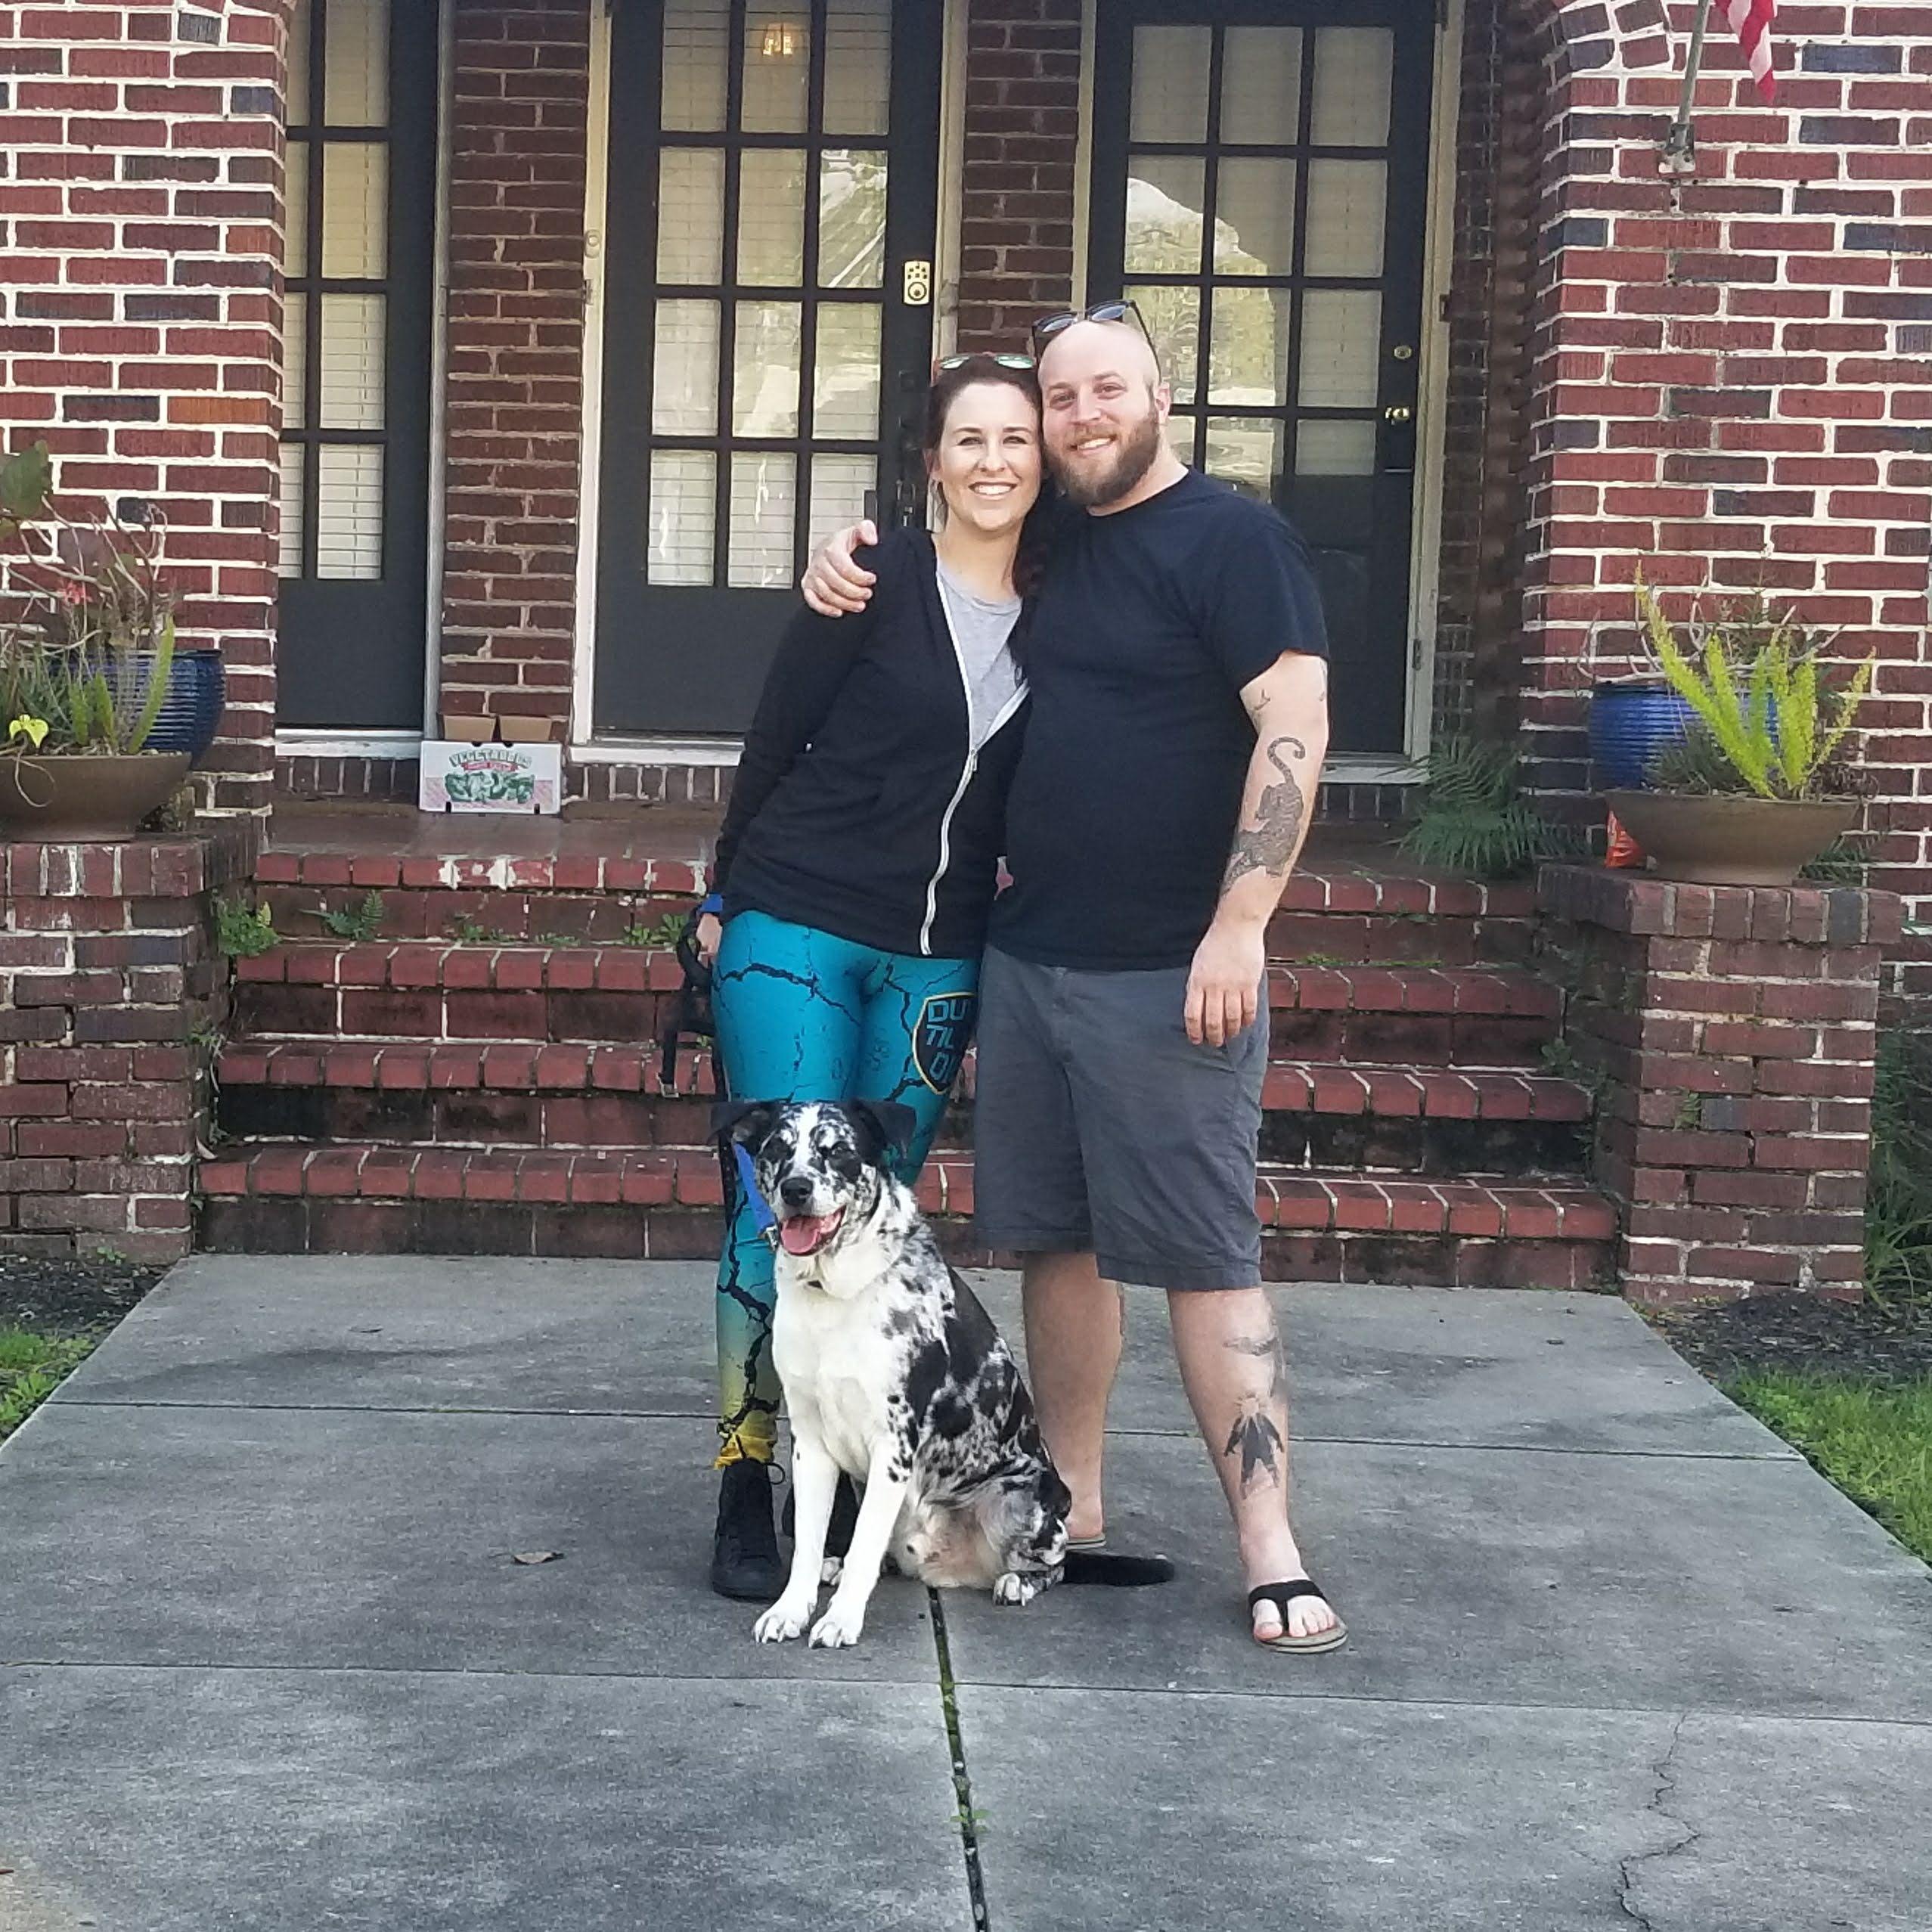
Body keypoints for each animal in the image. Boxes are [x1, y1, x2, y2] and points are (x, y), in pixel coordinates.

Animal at [714, 1097, 1171, 1649]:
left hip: (1024, 1495)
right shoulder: (811, 1445)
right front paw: (791, 1609)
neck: (838, 1292)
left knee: (1053, 1565)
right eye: (777, 1149)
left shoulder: (893, 1446)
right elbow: (806, 1540)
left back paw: (1016, 1580)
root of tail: (947, 1564)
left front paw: (841, 1619)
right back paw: (837, 1565)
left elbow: (863, 1545)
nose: (795, 1189)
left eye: (838, 1150)